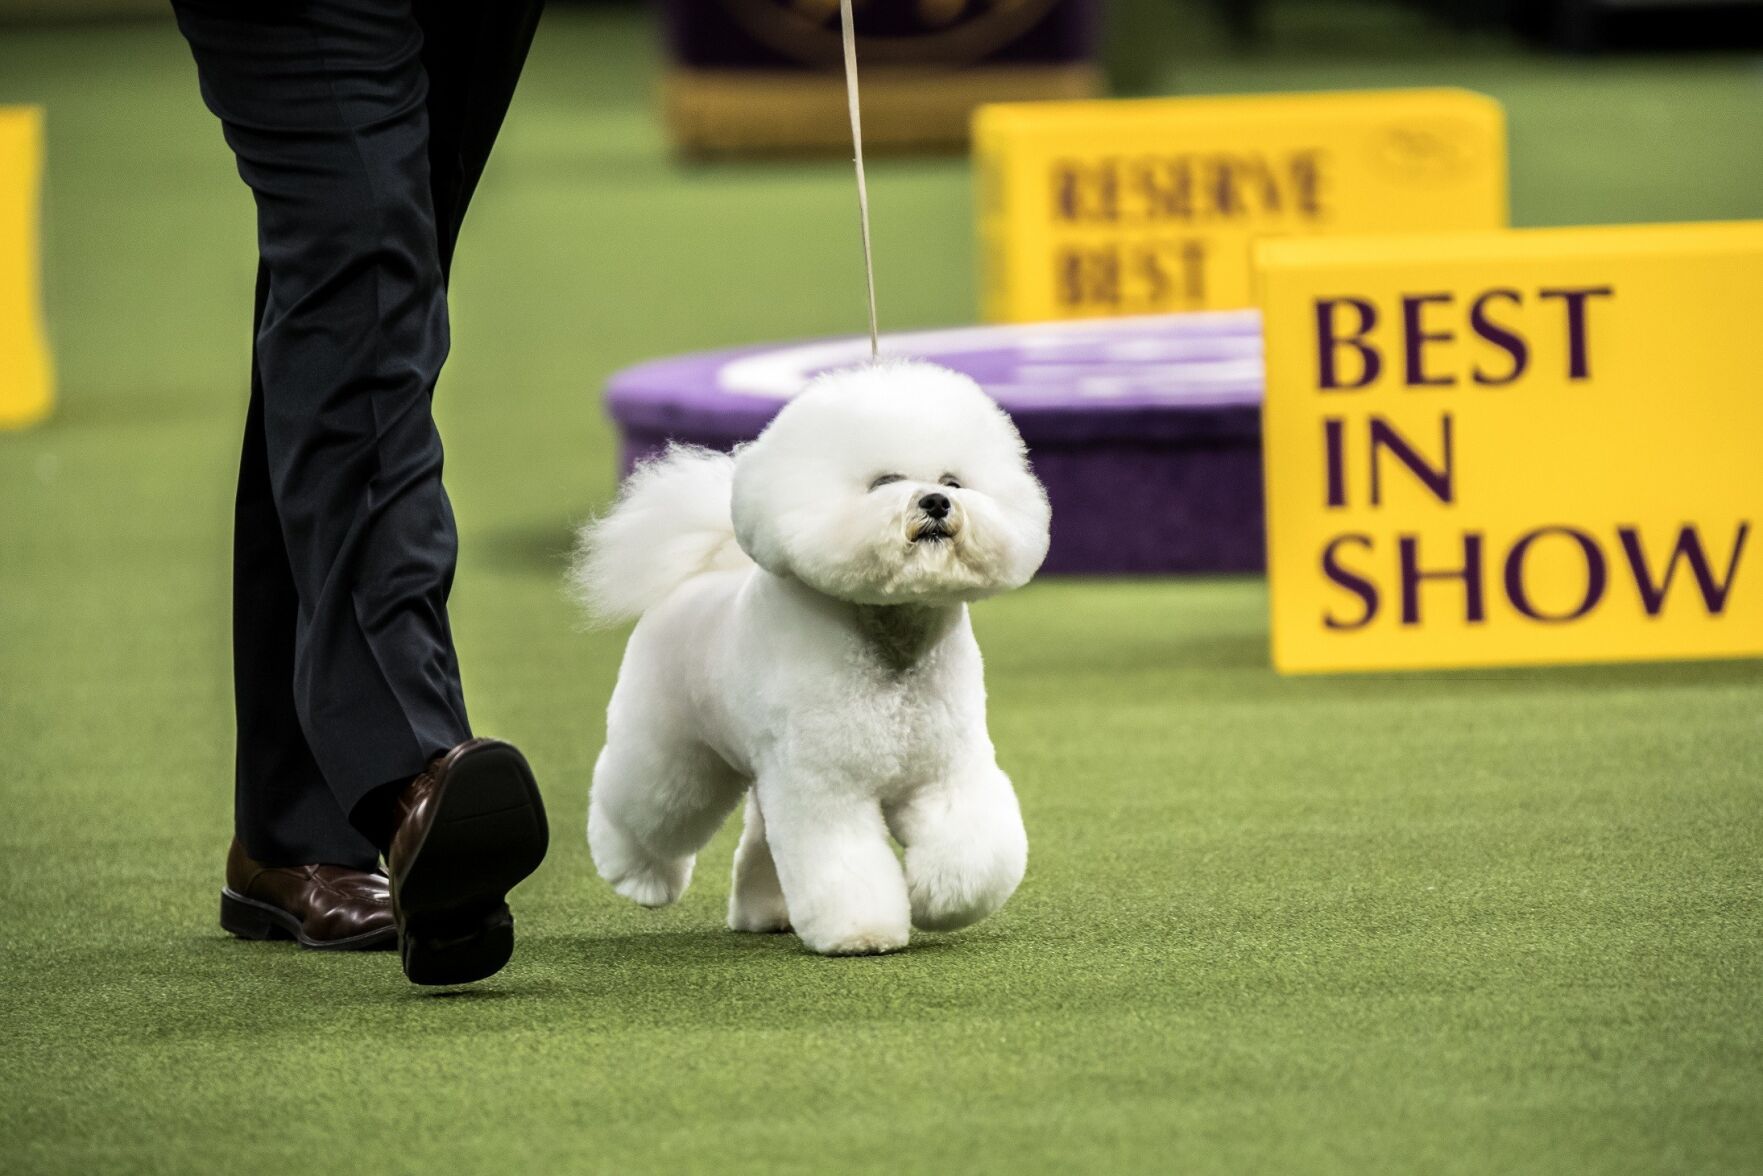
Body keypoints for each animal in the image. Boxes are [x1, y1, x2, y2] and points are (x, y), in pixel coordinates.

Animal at [574, 361, 1043, 959]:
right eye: (884, 482)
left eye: (954, 481)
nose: (936, 502)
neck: (892, 643)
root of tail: (694, 579)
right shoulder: (825, 785)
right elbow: (842, 863)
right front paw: (861, 932)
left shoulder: (946, 772)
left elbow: (977, 854)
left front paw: (939, 899)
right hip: (676, 756)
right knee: (637, 809)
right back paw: (638, 878)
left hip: (758, 770)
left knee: (757, 839)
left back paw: (764, 914)